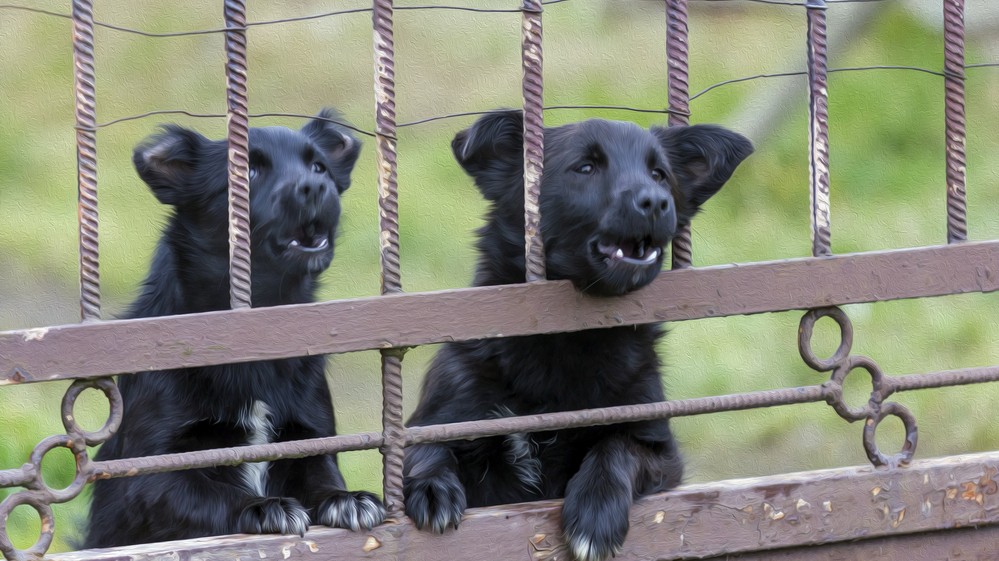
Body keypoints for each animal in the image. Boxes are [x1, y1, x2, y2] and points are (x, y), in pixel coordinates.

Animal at [85, 109, 386, 548]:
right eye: (248, 171)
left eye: (319, 168)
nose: (316, 186)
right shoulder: (148, 475)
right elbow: (209, 492)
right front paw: (263, 507)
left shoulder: (310, 438)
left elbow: (322, 476)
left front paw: (347, 498)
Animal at [404, 109, 752, 560]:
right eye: (585, 168)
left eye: (659, 174)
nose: (657, 202)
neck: (566, 341)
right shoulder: (442, 416)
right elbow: (425, 446)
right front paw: (432, 485)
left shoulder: (659, 448)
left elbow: (616, 447)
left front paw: (596, 512)